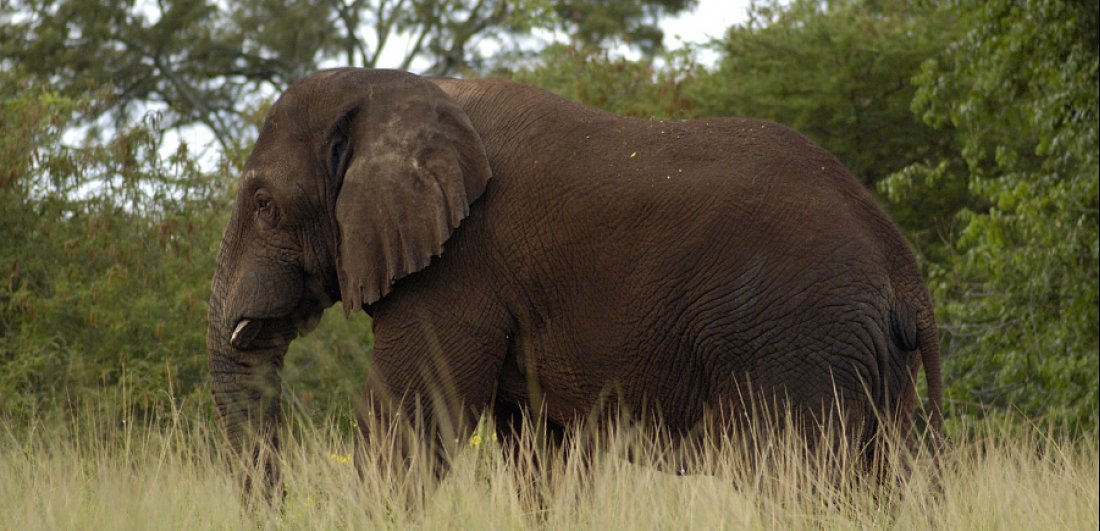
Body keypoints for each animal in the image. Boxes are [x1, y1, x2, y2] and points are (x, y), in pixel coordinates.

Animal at [207, 67, 946, 494]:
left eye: (266, 205)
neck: (400, 93)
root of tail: (901, 267)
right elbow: (542, 453)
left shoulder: (459, 267)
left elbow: (409, 431)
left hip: (799, 339)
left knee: (799, 480)